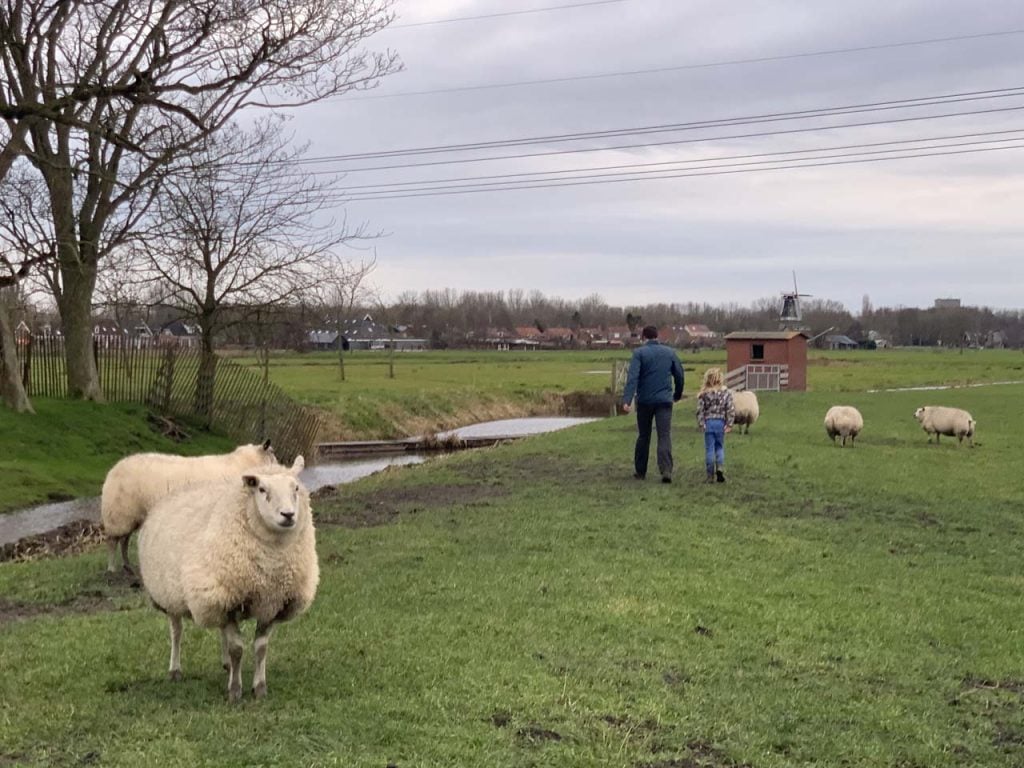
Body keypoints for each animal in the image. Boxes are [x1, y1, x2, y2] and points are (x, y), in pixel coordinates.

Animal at [100, 442, 276, 573]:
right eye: (272, 454)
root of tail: (114, 469)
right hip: (118, 514)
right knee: (112, 541)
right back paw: (111, 568)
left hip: (130, 516)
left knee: (124, 540)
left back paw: (127, 566)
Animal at [138, 456, 315, 704]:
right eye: (262, 489)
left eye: (296, 488)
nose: (288, 515)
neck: (271, 564)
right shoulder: (228, 602)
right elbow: (237, 650)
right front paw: (235, 690)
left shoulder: (271, 603)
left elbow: (260, 648)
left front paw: (259, 688)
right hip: (173, 596)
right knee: (176, 632)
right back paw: (175, 670)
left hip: (217, 597)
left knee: (220, 631)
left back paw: (226, 666)